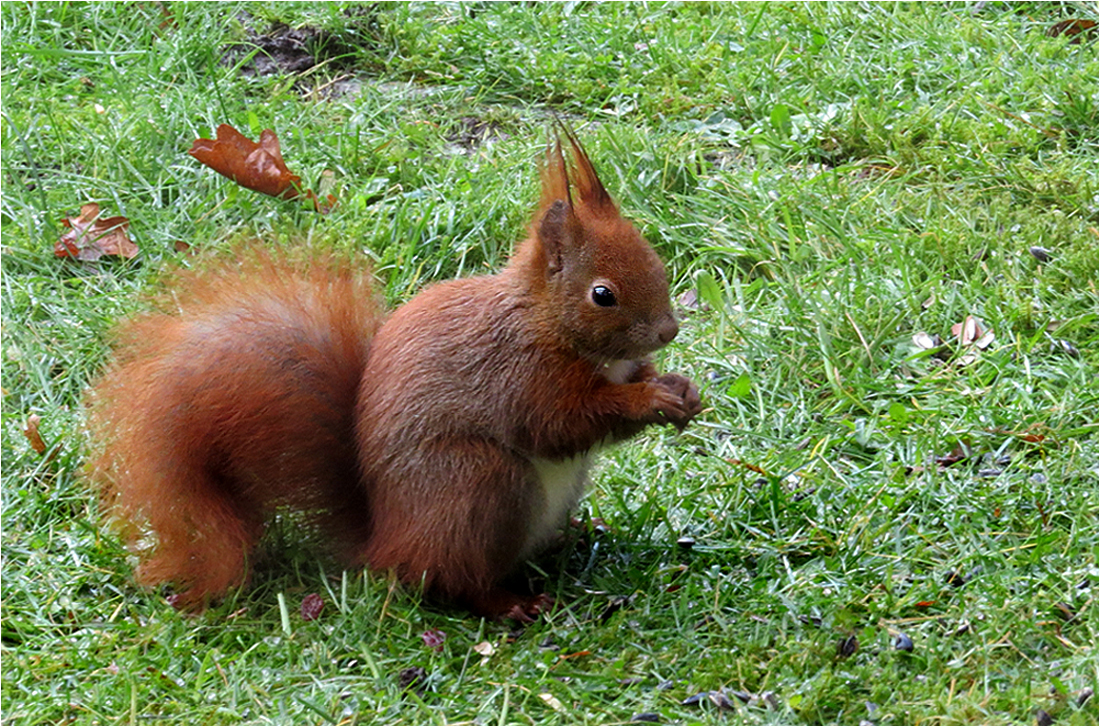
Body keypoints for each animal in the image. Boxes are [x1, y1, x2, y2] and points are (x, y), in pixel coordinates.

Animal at [88, 124, 704, 620]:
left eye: (654, 258)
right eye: (602, 294)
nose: (668, 330)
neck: (547, 320)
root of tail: (385, 543)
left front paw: (681, 390)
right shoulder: (517, 373)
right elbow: (559, 423)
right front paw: (651, 401)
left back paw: (572, 537)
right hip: (479, 483)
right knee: (454, 580)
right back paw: (510, 602)